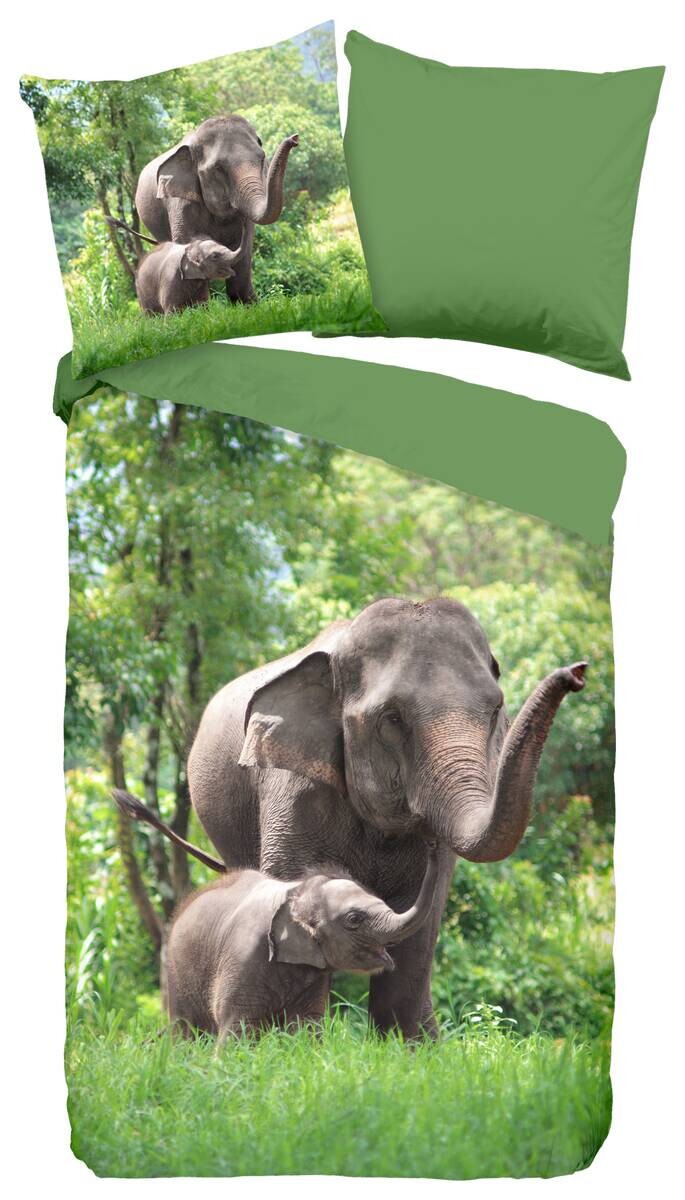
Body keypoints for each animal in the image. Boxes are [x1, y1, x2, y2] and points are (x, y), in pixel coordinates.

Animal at [135, 116, 299, 304]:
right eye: (218, 169)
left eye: (262, 157)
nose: (295, 138)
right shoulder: (180, 203)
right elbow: (189, 242)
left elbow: (244, 253)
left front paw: (248, 304)